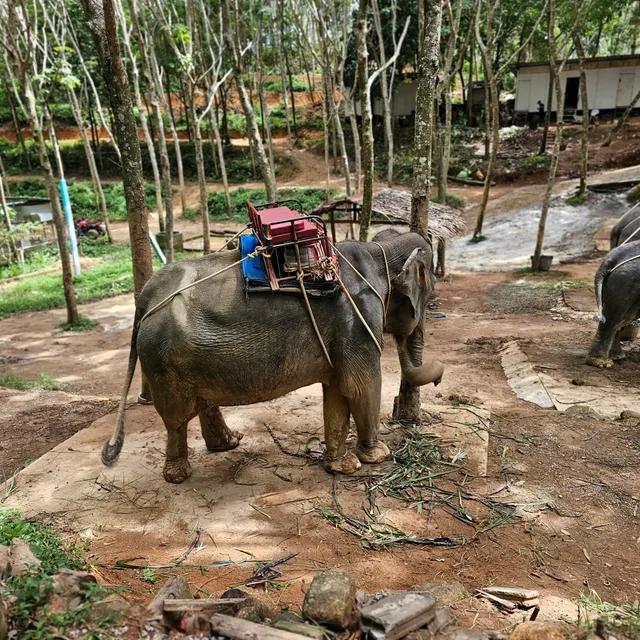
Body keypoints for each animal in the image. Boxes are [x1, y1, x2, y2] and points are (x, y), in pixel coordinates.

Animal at [102, 229, 444, 483]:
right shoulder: (358, 319)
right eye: (428, 298)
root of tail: (147, 297)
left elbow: (336, 390)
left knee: (202, 401)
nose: (440, 373)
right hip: (165, 360)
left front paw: (342, 467)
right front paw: (377, 456)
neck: (378, 249)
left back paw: (229, 443)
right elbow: (360, 386)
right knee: (175, 418)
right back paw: (178, 475)